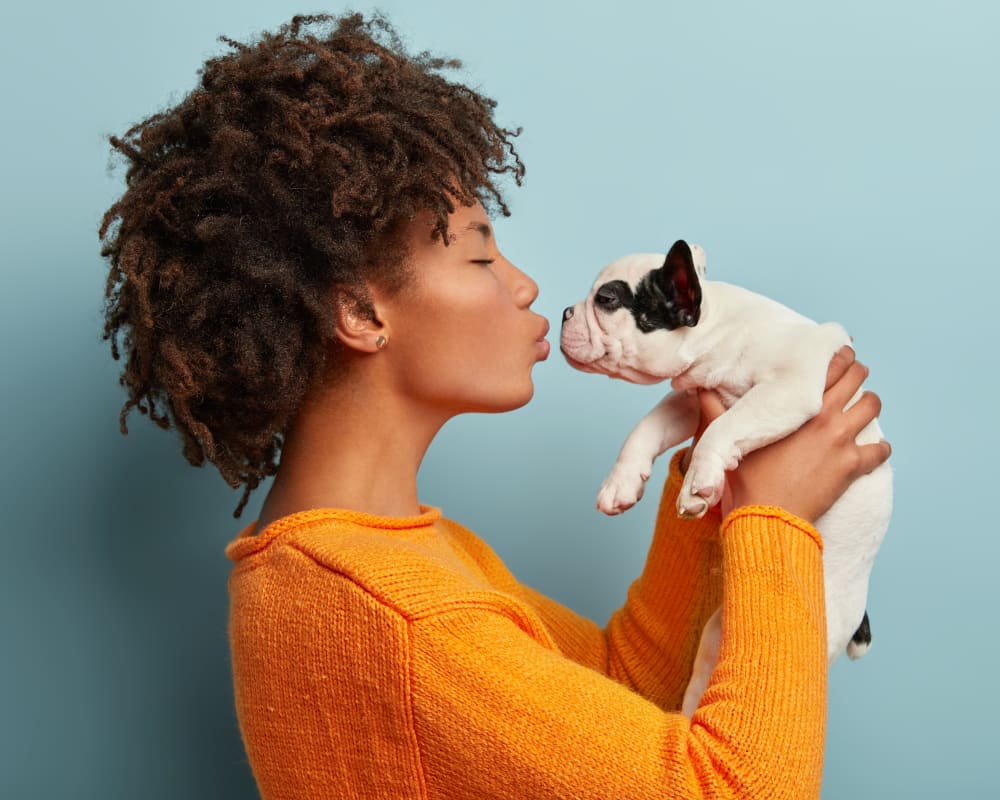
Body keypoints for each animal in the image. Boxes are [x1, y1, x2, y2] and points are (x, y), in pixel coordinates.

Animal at [560, 241, 896, 716]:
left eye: (606, 300)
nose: (566, 312)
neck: (717, 332)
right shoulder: (689, 401)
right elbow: (646, 428)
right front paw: (620, 483)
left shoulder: (788, 389)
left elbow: (723, 428)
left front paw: (699, 483)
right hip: (716, 635)